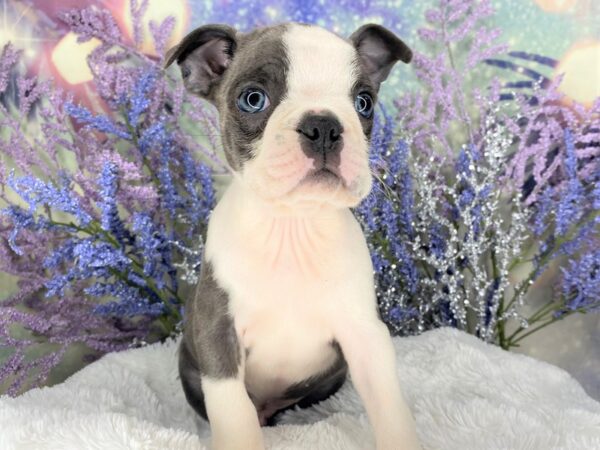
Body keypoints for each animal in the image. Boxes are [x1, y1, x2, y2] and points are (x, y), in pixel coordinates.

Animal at [164, 21, 422, 450]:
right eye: (253, 99)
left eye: (364, 102)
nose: (324, 126)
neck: (292, 227)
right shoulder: (218, 335)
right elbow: (234, 414)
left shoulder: (366, 336)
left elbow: (389, 405)